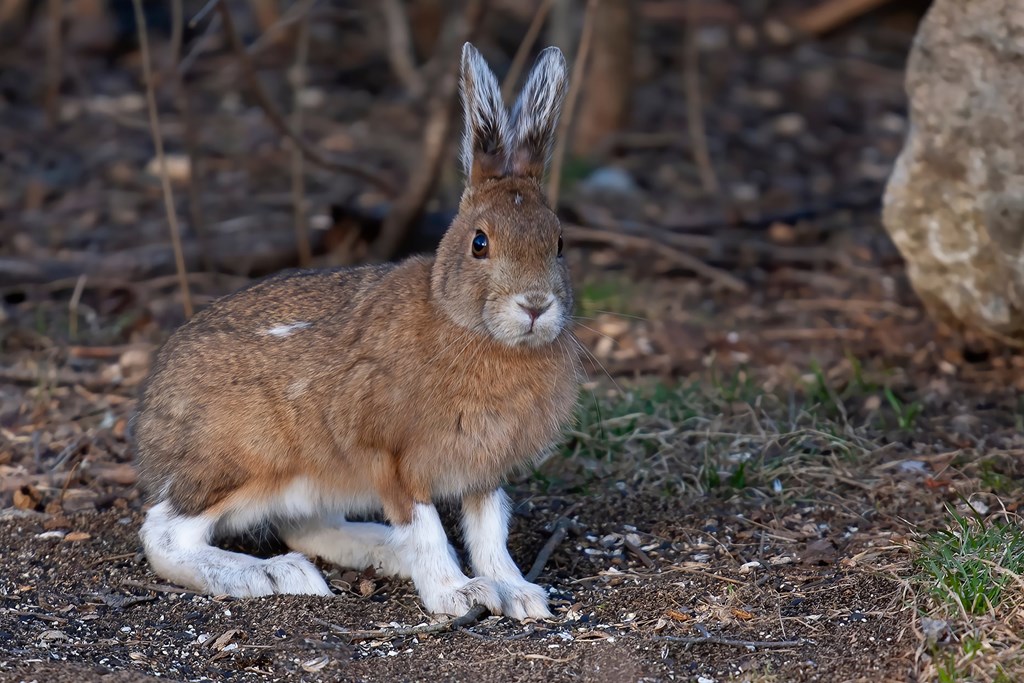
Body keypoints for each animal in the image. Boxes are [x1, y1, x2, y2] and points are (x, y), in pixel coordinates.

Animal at [132, 43, 580, 620]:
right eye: (480, 243)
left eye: (560, 243)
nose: (535, 305)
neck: (466, 325)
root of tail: (151, 425)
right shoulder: (393, 459)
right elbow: (426, 527)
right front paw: (457, 594)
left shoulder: (483, 471)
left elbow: (488, 530)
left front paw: (519, 593)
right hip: (251, 458)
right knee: (165, 532)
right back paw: (275, 575)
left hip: (316, 480)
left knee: (303, 525)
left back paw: (378, 551)